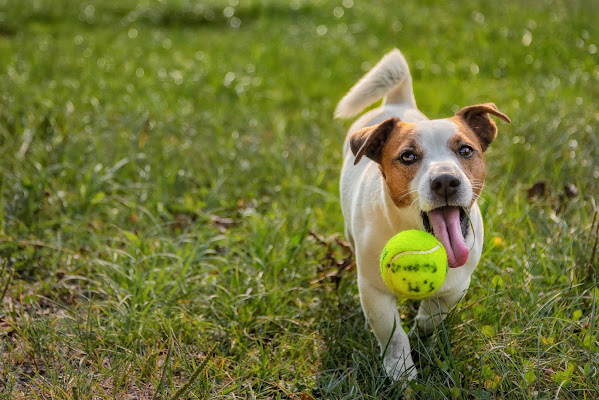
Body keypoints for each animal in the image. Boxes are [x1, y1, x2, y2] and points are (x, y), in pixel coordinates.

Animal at [338, 49, 510, 382]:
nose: (445, 180)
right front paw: (401, 371)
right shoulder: (374, 291)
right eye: (408, 156)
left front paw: (421, 329)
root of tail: (399, 102)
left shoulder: (458, 284)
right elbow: (392, 335)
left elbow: (435, 312)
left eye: (465, 150)